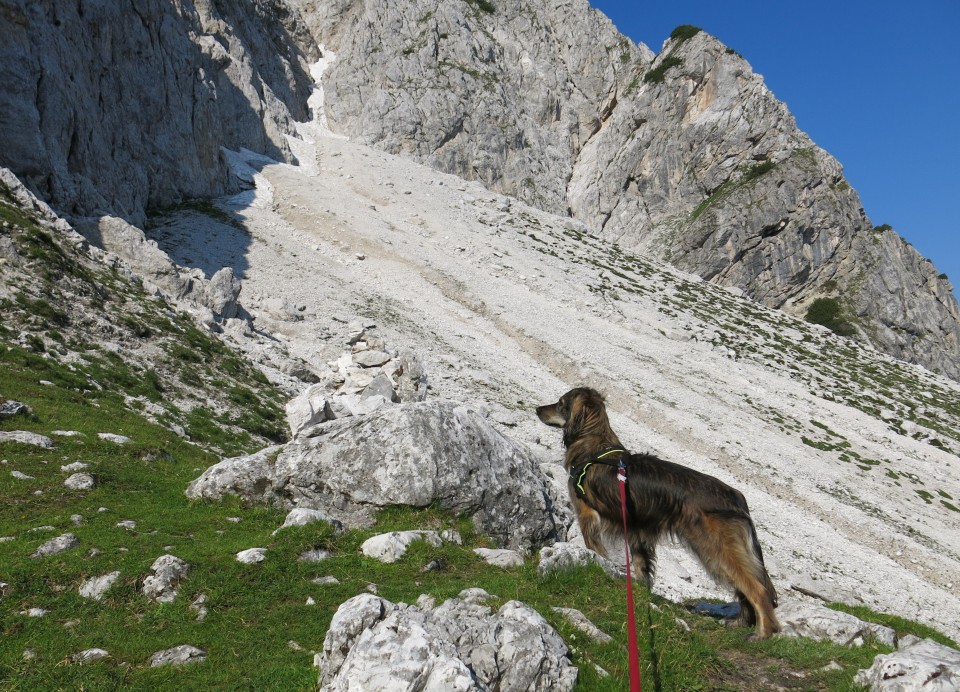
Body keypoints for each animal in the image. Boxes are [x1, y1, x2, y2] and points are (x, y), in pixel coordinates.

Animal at [540, 386, 780, 640]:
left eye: (561, 403)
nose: (537, 410)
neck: (594, 445)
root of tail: (737, 497)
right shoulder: (636, 530)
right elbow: (641, 567)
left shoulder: (587, 514)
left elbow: (594, 548)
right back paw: (741, 623)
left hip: (716, 549)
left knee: (757, 589)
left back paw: (763, 633)